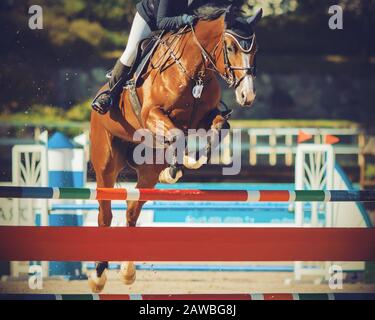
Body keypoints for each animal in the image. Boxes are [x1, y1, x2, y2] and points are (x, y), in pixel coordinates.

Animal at [89, 3, 262, 292]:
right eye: (230, 47)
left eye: (255, 49)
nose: (246, 96)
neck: (194, 70)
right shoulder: (152, 114)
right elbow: (178, 135)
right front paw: (176, 168)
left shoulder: (207, 117)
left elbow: (219, 128)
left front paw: (191, 161)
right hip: (105, 164)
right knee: (106, 214)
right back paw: (99, 275)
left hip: (147, 173)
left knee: (132, 210)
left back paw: (127, 271)